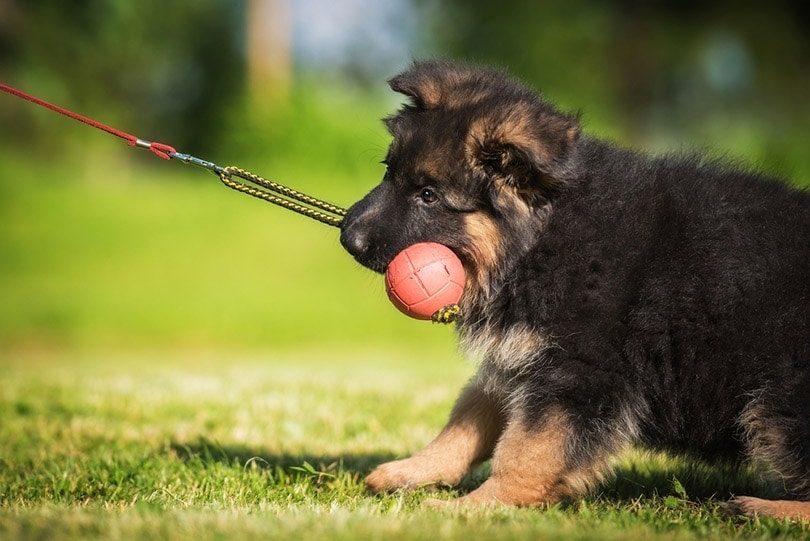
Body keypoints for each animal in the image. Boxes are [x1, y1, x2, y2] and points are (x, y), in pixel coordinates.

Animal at [338, 60, 808, 520]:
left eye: (429, 195)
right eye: (388, 172)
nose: (347, 239)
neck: (543, 235)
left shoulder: (579, 373)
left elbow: (526, 449)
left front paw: (479, 506)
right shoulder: (521, 355)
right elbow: (471, 414)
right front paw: (416, 470)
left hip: (779, 399)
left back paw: (764, 508)